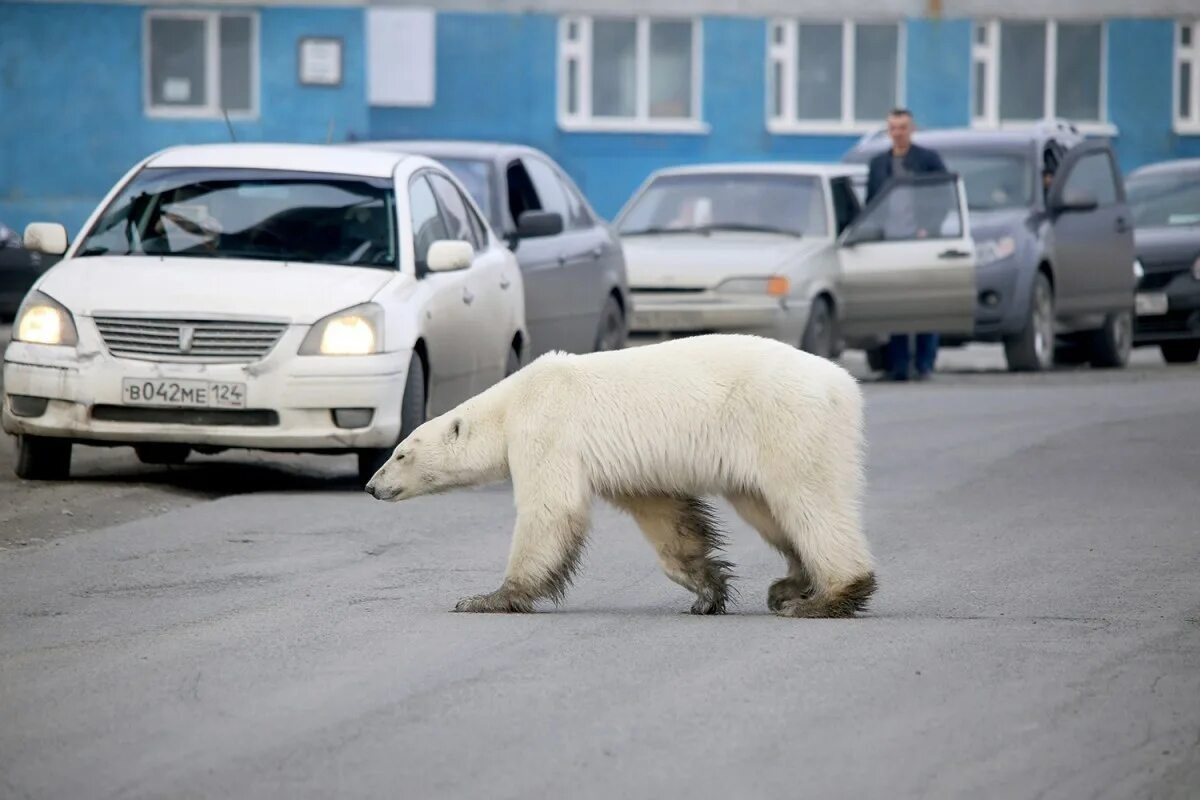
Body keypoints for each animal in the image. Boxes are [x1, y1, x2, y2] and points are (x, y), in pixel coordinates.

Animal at [360, 331, 878, 618]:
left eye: (400, 454)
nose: (371, 486)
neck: (510, 403)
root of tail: (845, 384)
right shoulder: (631, 466)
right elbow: (663, 514)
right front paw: (706, 590)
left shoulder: (546, 428)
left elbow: (551, 509)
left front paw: (488, 598)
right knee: (769, 509)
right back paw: (789, 585)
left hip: (788, 423)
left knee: (809, 502)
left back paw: (827, 598)